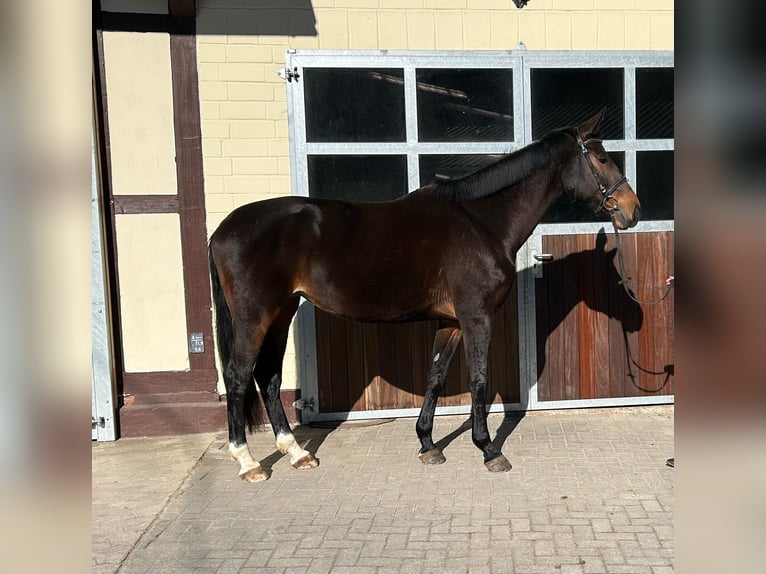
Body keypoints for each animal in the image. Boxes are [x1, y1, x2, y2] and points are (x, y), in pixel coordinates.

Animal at [207, 110, 640, 484]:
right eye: (602, 158)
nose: (632, 209)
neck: (481, 222)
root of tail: (222, 230)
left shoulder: (450, 322)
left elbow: (435, 376)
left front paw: (428, 444)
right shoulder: (477, 317)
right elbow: (479, 380)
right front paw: (488, 450)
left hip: (282, 313)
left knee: (269, 376)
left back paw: (296, 453)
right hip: (255, 317)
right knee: (238, 376)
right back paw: (248, 461)